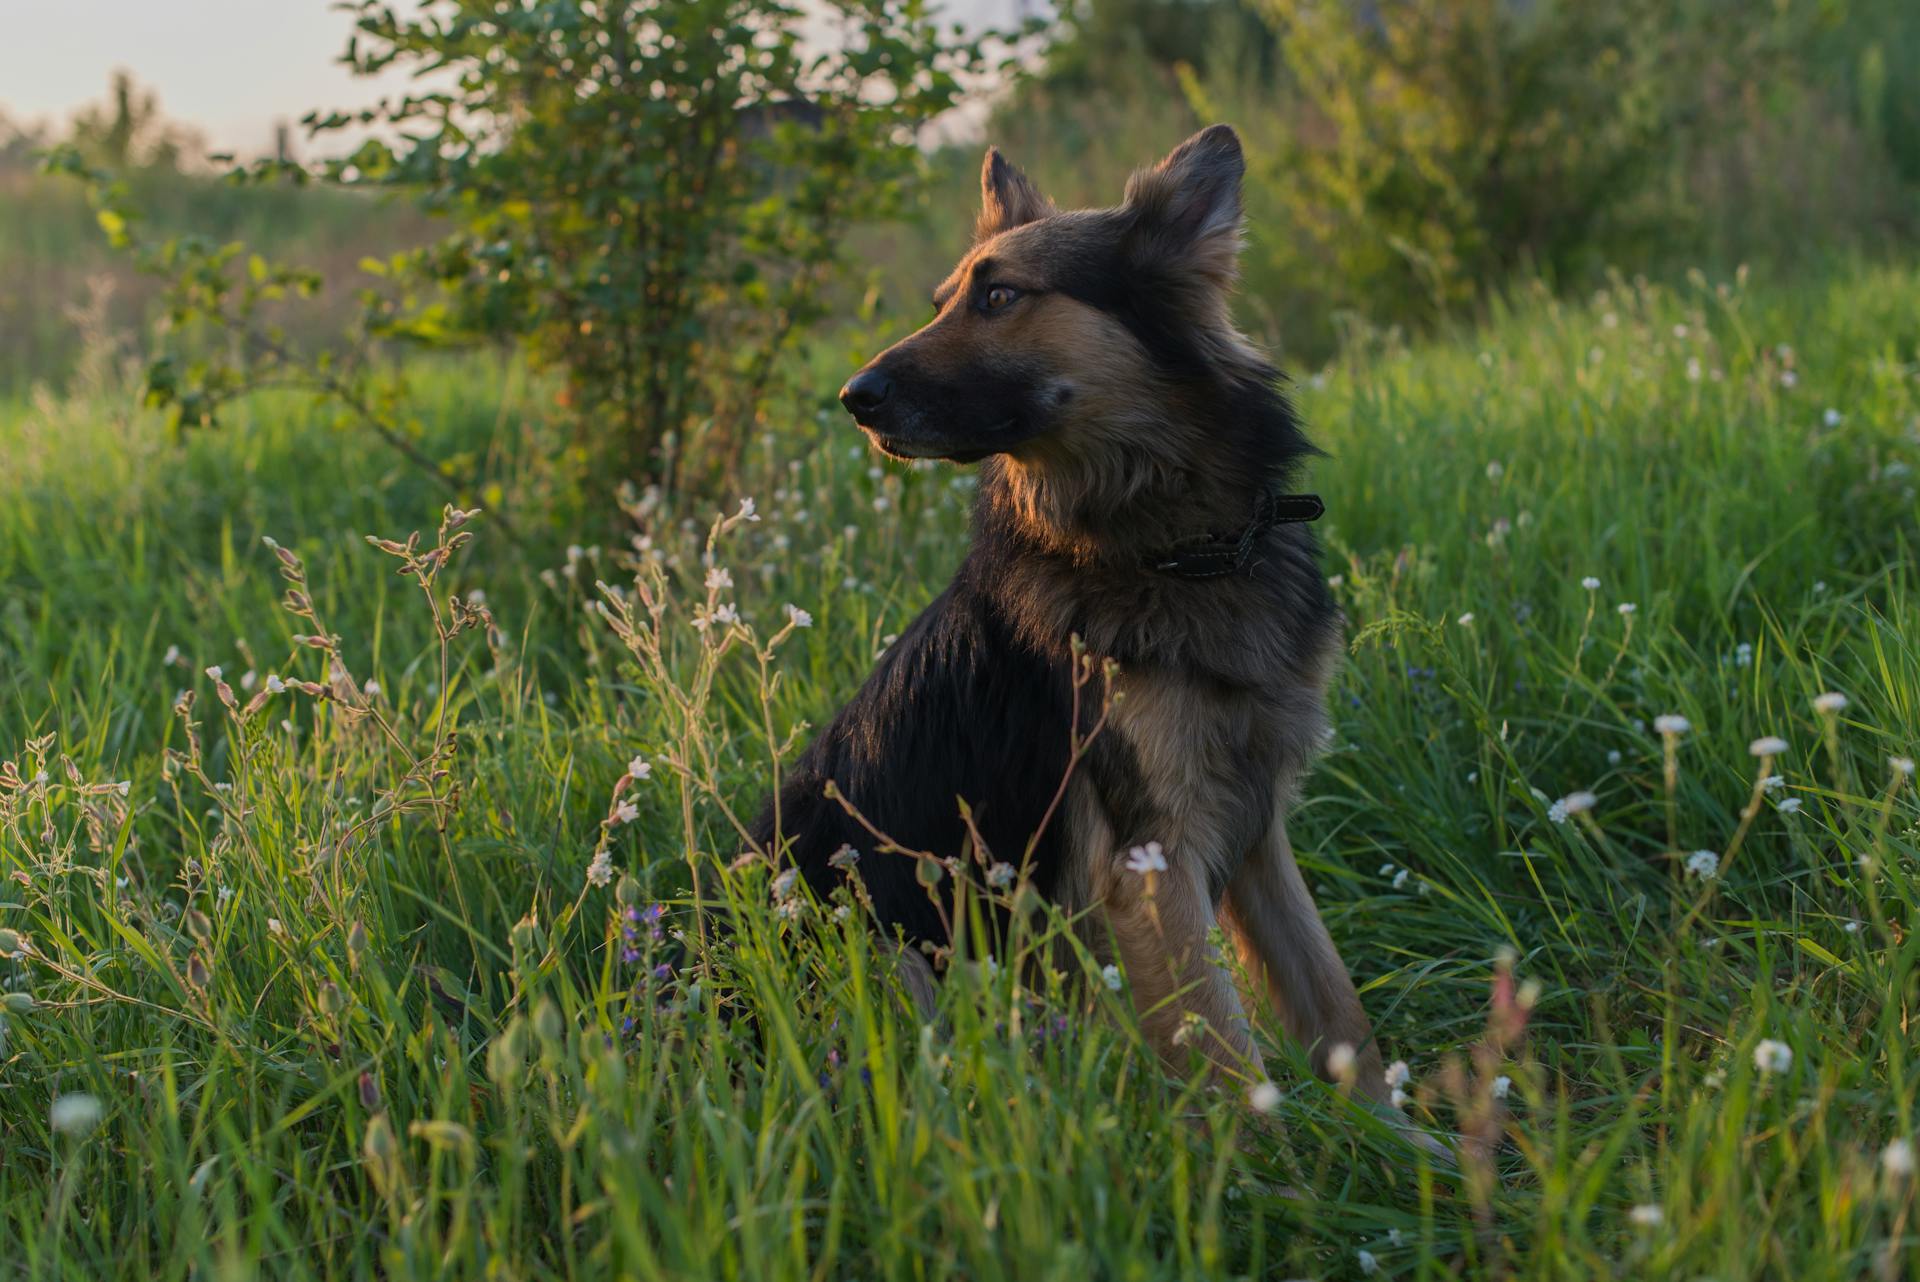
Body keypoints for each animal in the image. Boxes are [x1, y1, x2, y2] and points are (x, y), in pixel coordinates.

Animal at [748, 122, 1397, 1113]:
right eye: (942, 302)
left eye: (999, 296)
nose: (855, 398)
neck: (1175, 550)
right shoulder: (1149, 865)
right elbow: (1235, 1077)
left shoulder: (1256, 833)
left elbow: (1339, 1012)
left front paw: (1413, 1146)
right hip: (885, 948)